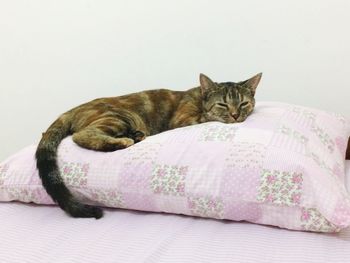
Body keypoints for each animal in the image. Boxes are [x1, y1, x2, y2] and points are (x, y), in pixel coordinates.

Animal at [36, 72, 262, 219]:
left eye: (244, 103)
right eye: (223, 104)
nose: (235, 115)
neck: (200, 97)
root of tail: (71, 110)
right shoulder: (183, 120)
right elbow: (207, 118)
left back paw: (135, 136)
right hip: (120, 116)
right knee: (81, 136)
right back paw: (124, 141)